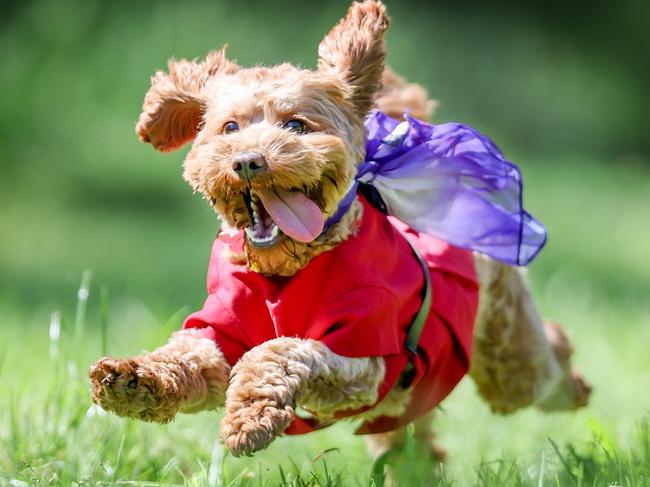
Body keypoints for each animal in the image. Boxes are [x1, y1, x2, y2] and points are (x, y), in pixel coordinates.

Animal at [88, 0, 588, 462]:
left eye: (296, 124)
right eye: (229, 127)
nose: (247, 162)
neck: (285, 272)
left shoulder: (364, 358)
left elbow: (280, 351)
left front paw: (249, 417)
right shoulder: (220, 332)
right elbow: (189, 356)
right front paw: (129, 379)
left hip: (507, 352)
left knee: (545, 358)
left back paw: (577, 381)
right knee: (413, 445)